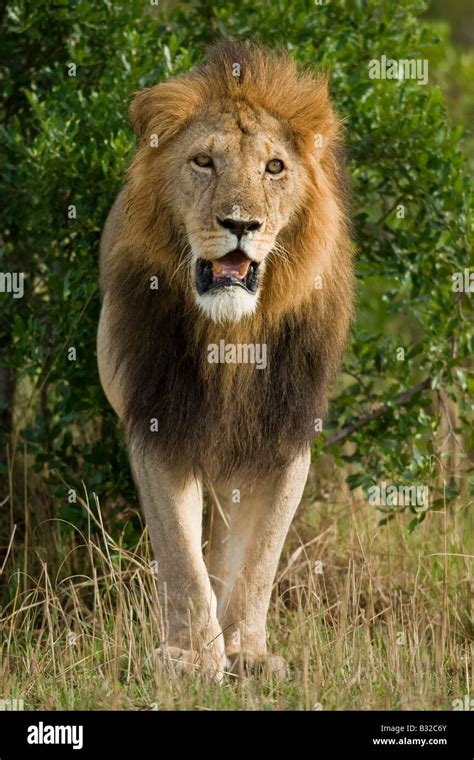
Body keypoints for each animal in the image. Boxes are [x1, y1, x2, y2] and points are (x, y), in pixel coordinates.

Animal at [98, 40, 354, 676]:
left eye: (274, 168)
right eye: (203, 162)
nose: (241, 223)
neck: (233, 333)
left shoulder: (287, 436)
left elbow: (260, 558)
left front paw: (248, 653)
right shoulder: (157, 424)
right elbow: (180, 556)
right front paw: (193, 657)